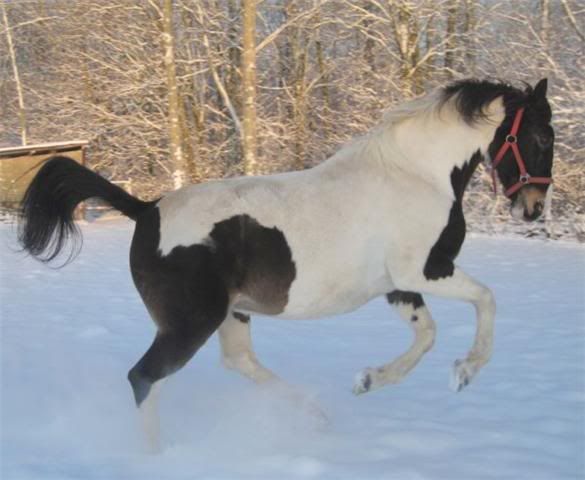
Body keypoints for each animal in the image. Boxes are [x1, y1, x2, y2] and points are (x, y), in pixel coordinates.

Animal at [18, 77, 556, 448]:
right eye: (541, 137)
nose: (533, 209)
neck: (416, 173)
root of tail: (146, 209)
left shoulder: (400, 285)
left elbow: (425, 337)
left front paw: (368, 380)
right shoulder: (423, 269)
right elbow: (485, 299)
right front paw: (466, 371)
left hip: (232, 313)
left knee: (238, 362)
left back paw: (313, 413)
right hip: (191, 322)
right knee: (144, 378)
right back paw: (157, 456)